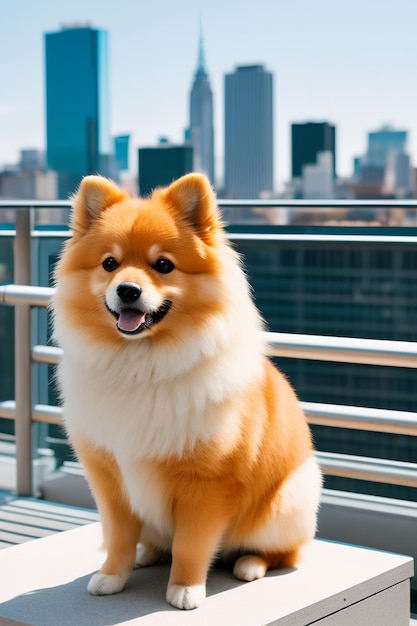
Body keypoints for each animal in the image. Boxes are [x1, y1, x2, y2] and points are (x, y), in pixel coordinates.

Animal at [52, 173, 322, 608]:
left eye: (163, 265)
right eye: (110, 264)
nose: (127, 290)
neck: (140, 365)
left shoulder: (207, 482)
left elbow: (191, 544)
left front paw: (185, 588)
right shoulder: (109, 478)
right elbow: (118, 536)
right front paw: (112, 576)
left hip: (286, 503)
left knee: (284, 552)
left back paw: (251, 564)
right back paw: (148, 554)